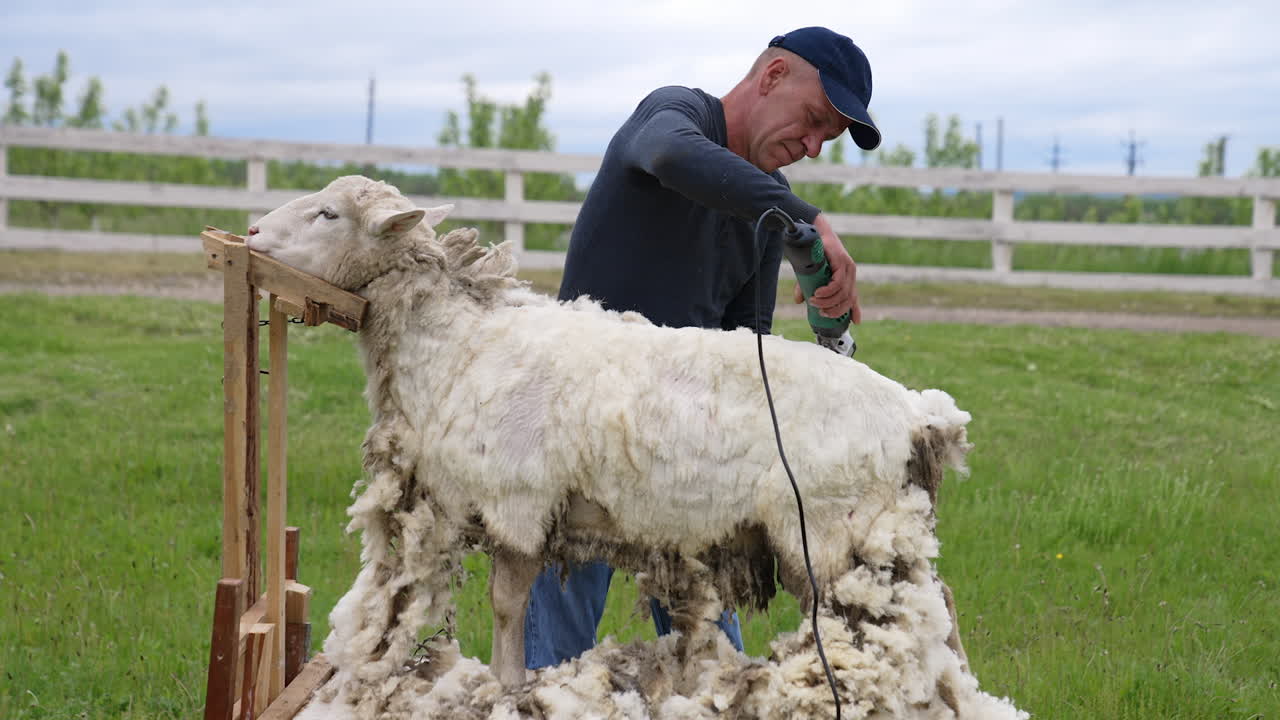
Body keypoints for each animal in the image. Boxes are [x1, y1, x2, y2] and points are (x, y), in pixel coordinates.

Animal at [249, 176, 1025, 719]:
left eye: (328, 215)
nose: (252, 231)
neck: (461, 344)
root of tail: (920, 414)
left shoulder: (518, 500)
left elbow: (508, 604)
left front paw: (506, 685)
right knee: (937, 604)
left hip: (835, 528)